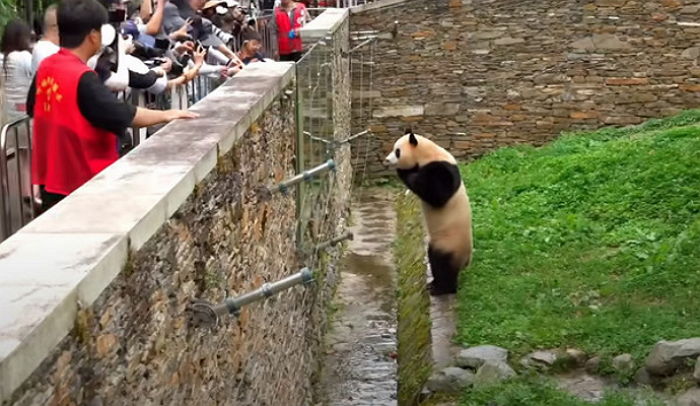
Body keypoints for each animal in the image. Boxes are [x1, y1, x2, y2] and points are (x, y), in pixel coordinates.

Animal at [386, 129, 474, 294]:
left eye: (397, 151)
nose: (387, 160)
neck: (428, 153)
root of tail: (465, 261)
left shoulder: (440, 169)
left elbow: (437, 194)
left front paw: (404, 171)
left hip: (449, 242)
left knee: (442, 263)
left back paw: (442, 288)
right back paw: (433, 284)